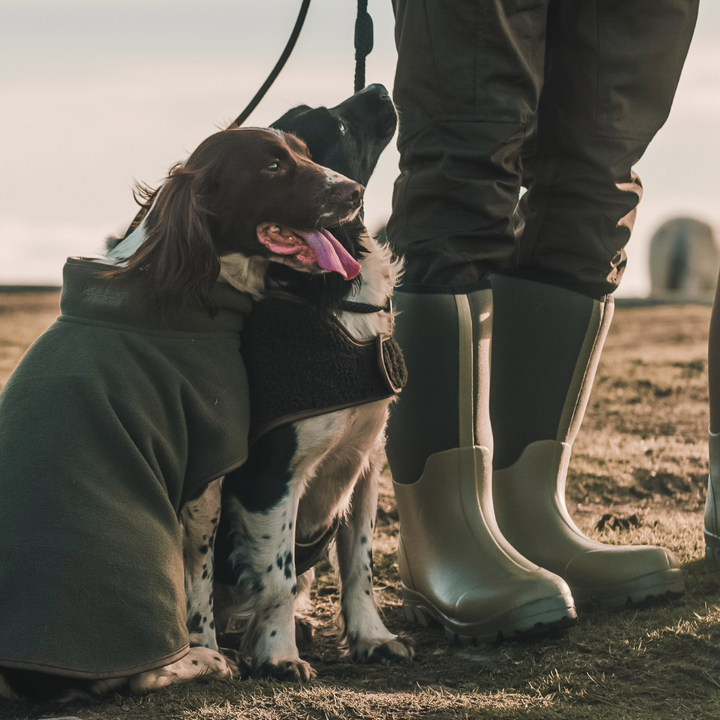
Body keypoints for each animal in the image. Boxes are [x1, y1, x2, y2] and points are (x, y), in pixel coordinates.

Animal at [212, 84, 416, 680]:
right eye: (341, 127)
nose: (378, 87)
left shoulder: (366, 463)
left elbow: (360, 566)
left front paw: (372, 638)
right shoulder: (270, 477)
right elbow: (278, 576)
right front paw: (278, 655)